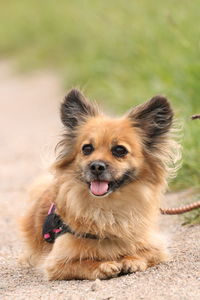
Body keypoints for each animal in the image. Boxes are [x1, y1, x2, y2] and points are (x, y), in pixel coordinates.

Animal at [19, 88, 180, 280]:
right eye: (87, 149)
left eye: (119, 150)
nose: (96, 166)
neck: (107, 208)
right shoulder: (57, 262)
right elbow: (82, 262)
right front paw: (104, 265)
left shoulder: (155, 246)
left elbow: (143, 254)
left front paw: (131, 260)